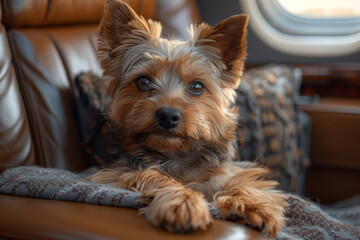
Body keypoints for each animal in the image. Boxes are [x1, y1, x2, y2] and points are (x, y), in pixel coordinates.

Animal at [88, 0, 288, 236]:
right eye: (143, 81)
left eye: (197, 86)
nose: (167, 115)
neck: (175, 155)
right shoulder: (114, 174)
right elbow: (154, 177)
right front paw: (184, 202)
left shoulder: (226, 172)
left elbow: (239, 180)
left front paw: (254, 205)